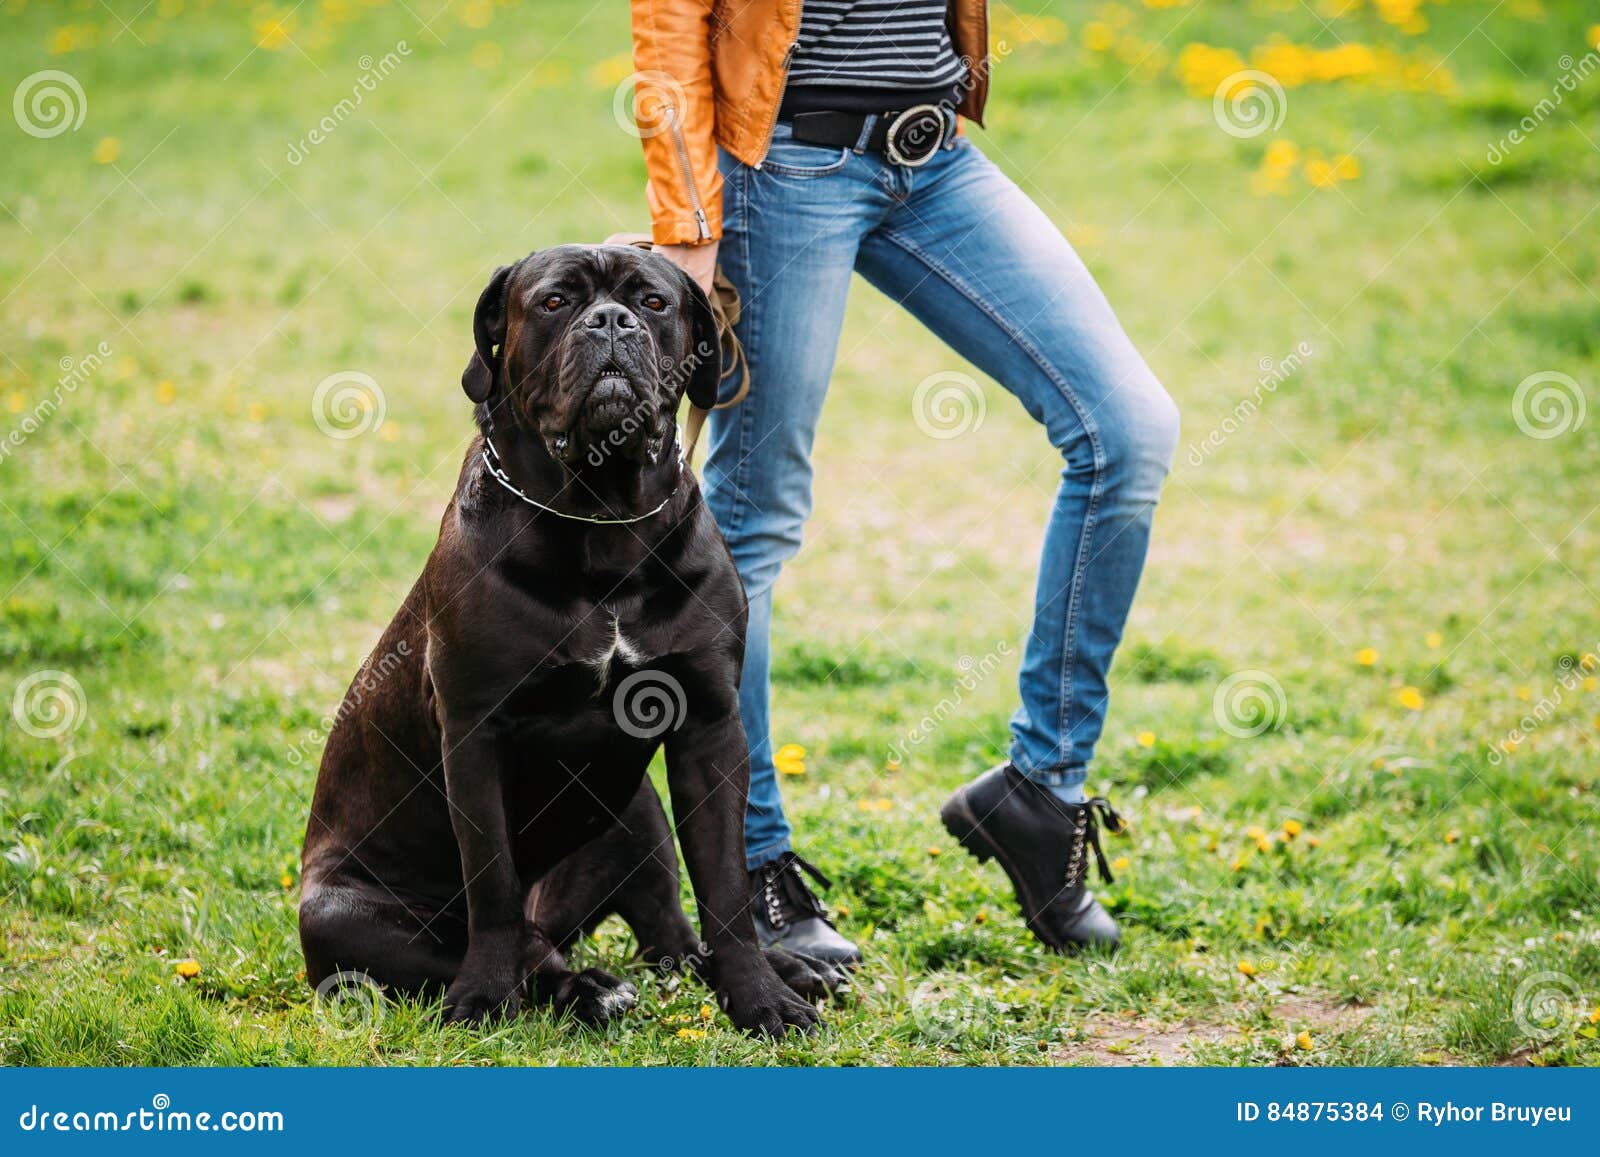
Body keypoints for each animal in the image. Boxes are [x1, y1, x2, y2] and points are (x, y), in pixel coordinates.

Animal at [302, 244, 851, 1030]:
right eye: (555, 302)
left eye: (653, 302)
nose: (611, 321)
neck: (604, 523)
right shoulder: (474, 732)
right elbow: (493, 887)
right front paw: (482, 995)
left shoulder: (709, 725)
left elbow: (724, 884)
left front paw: (760, 998)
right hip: (342, 914)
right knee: (533, 948)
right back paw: (583, 988)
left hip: (639, 809)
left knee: (671, 937)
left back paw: (788, 968)